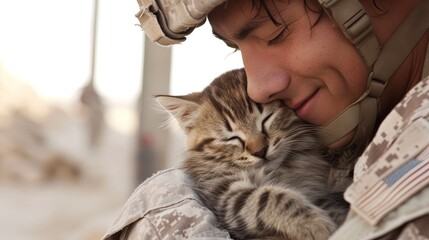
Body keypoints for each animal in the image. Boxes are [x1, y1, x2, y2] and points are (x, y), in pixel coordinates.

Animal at [156, 68, 348, 239]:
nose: (260, 151)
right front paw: (315, 224)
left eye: (266, 120)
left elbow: (332, 207)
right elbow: (268, 197)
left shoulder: (318, 193)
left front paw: (340, 220)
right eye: (231, 138)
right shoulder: (223, 194)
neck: (280, 169)